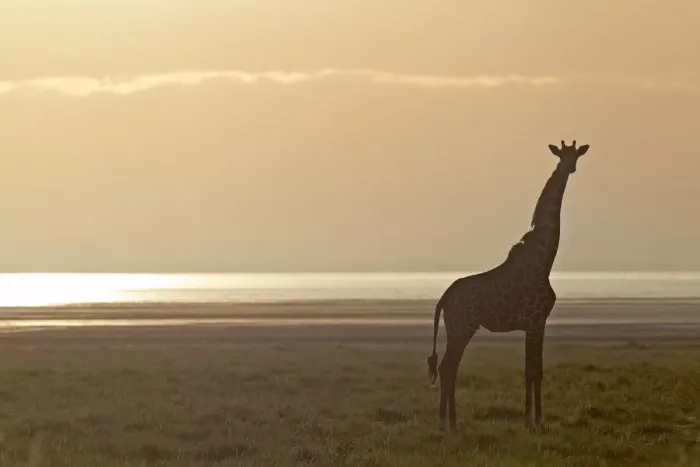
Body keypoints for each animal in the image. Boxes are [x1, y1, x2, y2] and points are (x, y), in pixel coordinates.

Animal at [426, 140, 590, 431]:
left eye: (576, 155)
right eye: (562, 155)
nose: (570, 167)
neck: (544, 260)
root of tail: (443, 299)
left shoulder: (536, 323)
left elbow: (535, 370)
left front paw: (535, 419)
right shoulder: (535, 321)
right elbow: (532, 370)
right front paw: (533, 421)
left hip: (457, 327)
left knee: (449, 367)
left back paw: (449, 421)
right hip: (462, 327)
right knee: (447, 367)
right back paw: (448, 423)